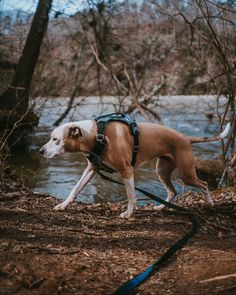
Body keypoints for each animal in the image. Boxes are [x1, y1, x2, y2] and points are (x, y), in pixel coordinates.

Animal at [39, 119, 230, 219]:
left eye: (55, 139)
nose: (40, 151)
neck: (97, 135)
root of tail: (186, 138)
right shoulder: (91, 170)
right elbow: (75, 189)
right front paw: (63, 205)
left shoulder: (126, 171)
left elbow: (131, 196)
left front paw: (128, 213)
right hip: (162, 171)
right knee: (172, 191)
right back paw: (161, 207)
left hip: (186, 173)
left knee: (204, 184)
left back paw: (209, 203)